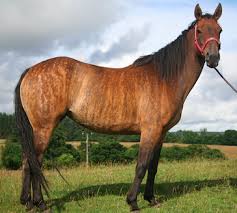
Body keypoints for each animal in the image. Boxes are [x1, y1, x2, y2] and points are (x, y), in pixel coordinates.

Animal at [14, 2, 222, 211]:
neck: (163, 79)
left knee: (26, 161)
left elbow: (153, 167)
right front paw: (133, 202)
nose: (213, 58)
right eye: (200, 30)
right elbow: (141, 166)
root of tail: (30, 70)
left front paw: (151, 199)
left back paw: (27, 202)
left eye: (219, 30)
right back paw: (40, 203)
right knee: (35, 162)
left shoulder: (161, 133)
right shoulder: (150, 131)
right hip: (44, 127)